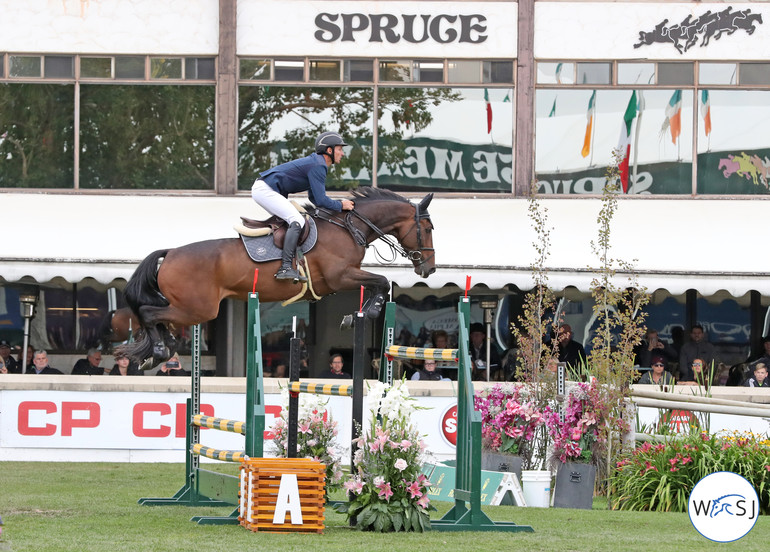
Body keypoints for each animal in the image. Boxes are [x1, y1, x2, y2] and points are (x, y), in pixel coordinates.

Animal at [117, 188, 436, 368]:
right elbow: (380, 281)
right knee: (149, 313)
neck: (348, 227)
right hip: (197, 308)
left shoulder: (345, 278)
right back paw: (160, 350)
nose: (429, 269)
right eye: (428, 228)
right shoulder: (340, 276)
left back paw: (162, 348)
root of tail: (170, 253)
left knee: (156, 316)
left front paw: (357, 314)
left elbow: (376, 284)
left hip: (190, 307)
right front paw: (366, 312)